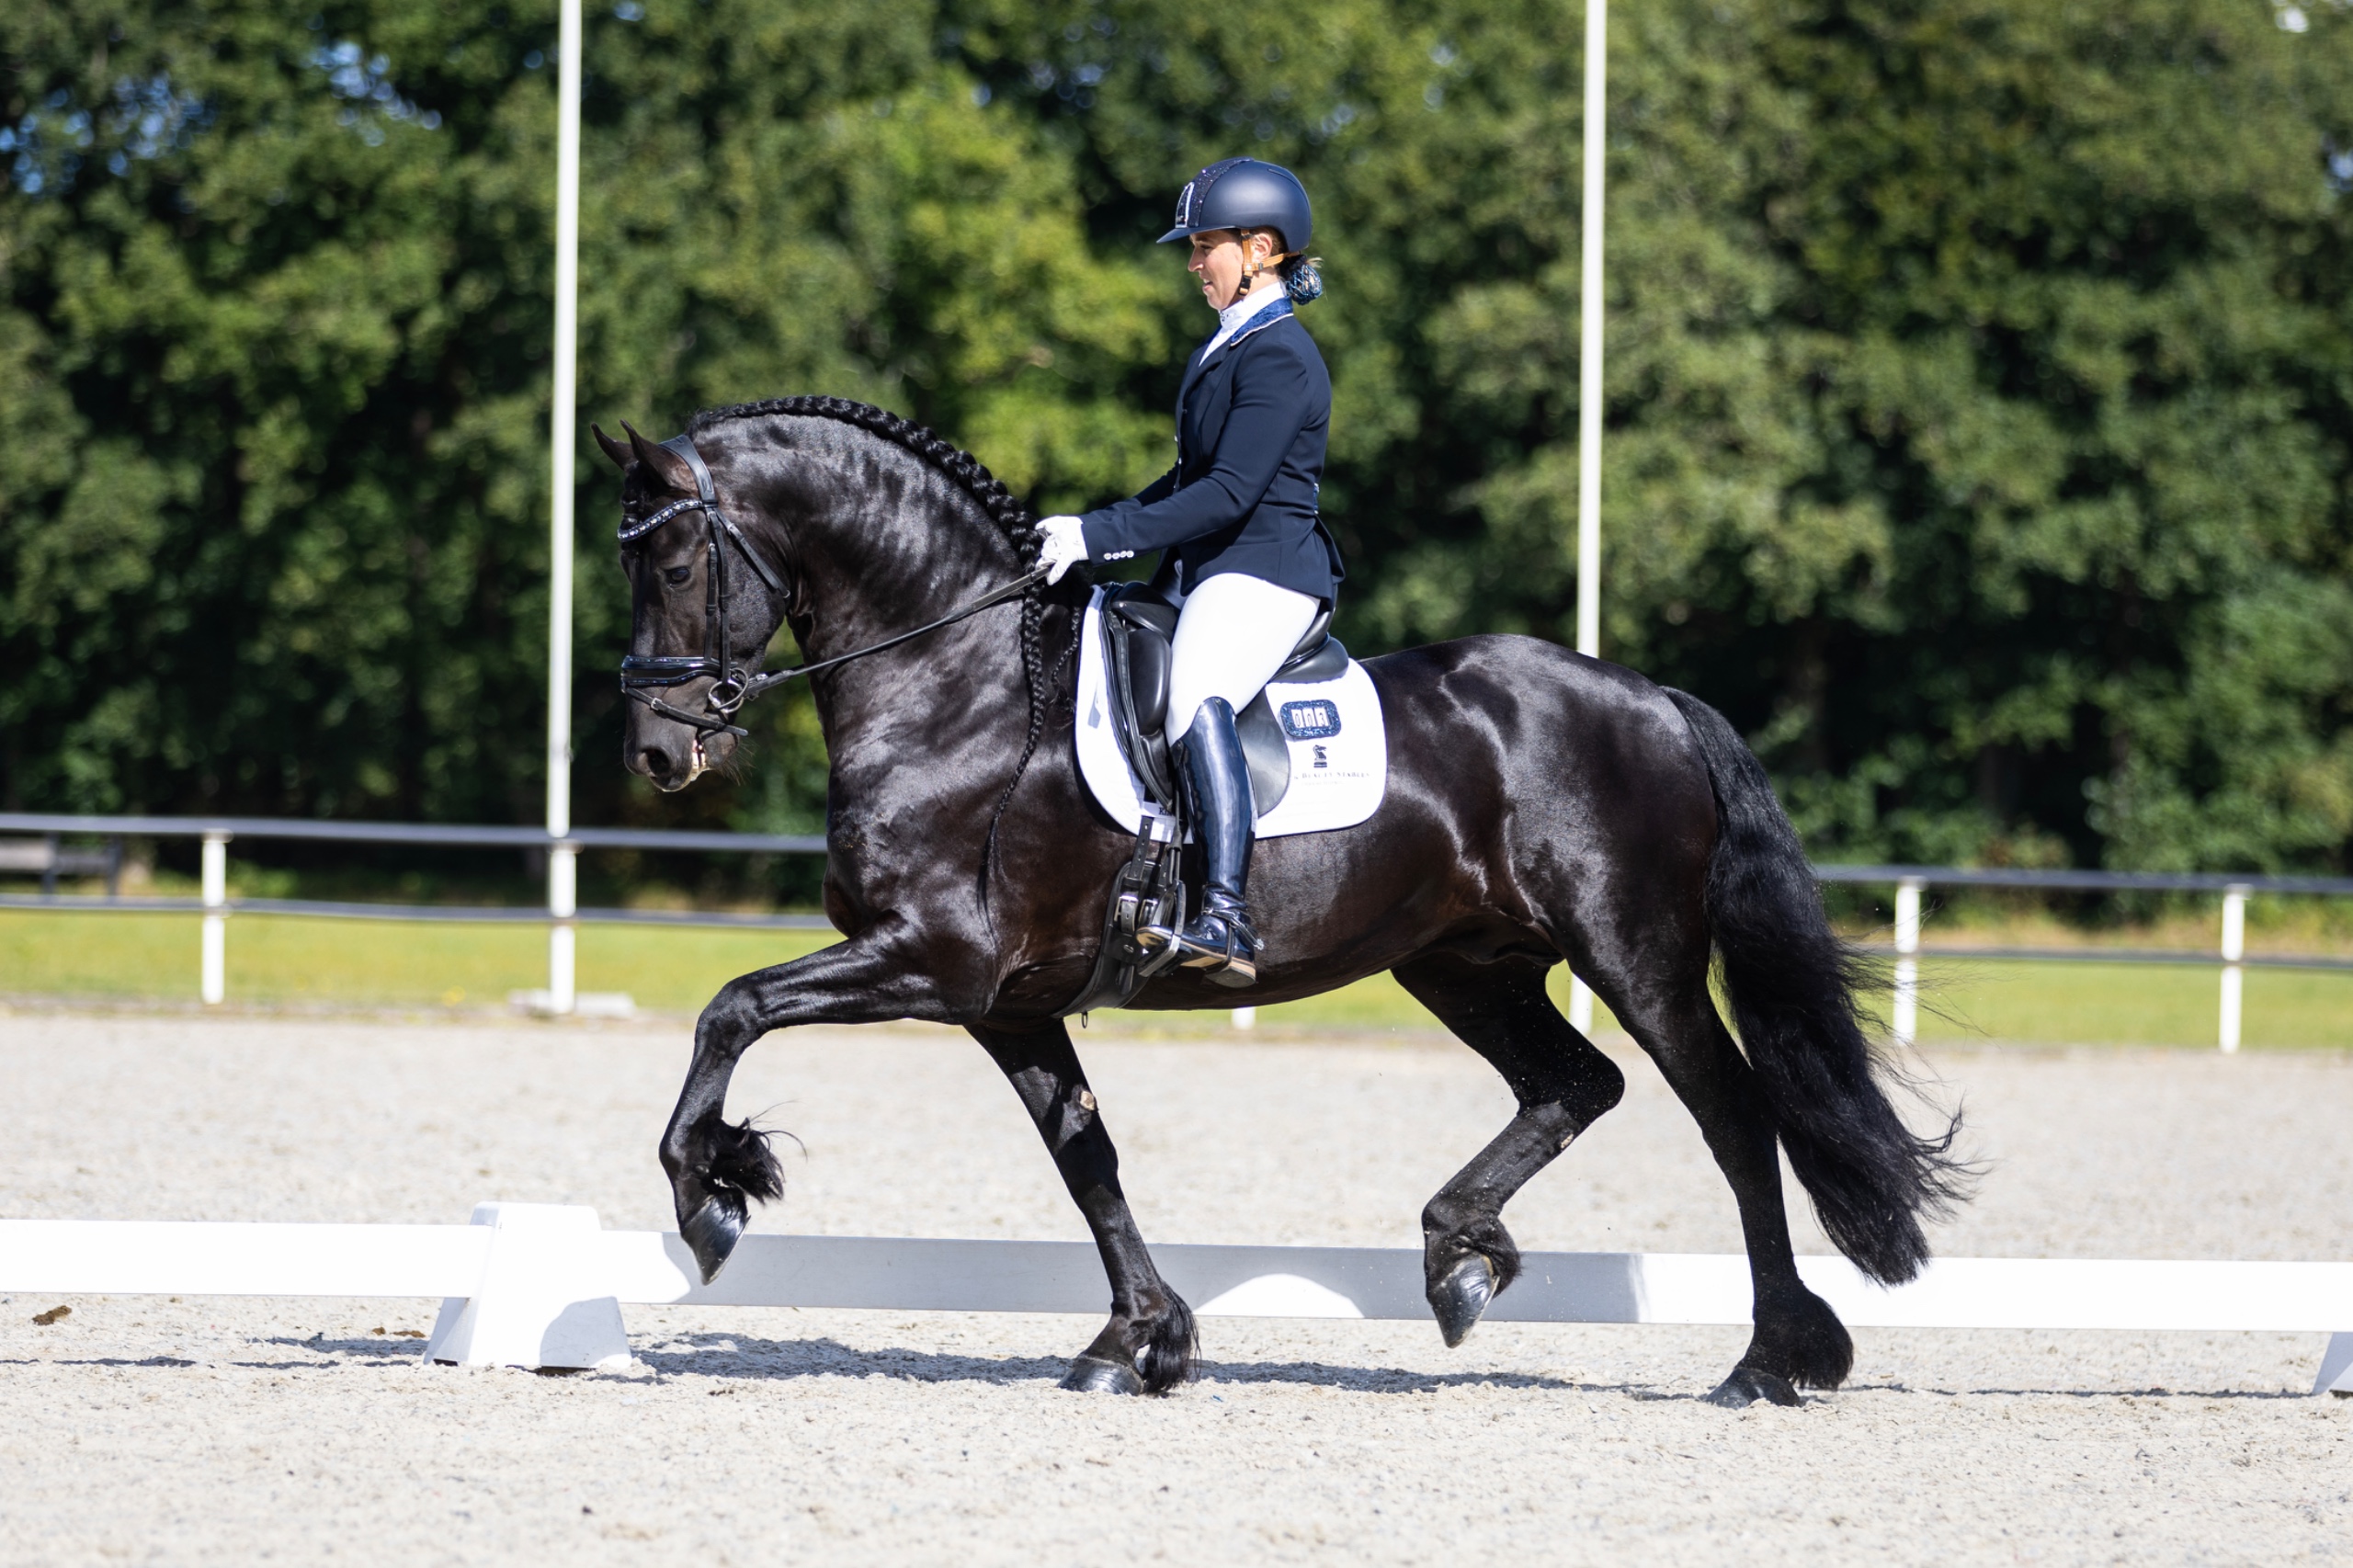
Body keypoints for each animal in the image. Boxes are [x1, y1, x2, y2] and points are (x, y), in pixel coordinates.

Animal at [595, 395, 1967, 1407]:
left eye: (677, 557)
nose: (657, 753)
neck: (957, 682)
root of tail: (1652, 697)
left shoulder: (935, 959)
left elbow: (732, 1005)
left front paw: (713, 1190)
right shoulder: (1008, 1001)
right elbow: (1085, 1156)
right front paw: (1139, 1342)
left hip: (1635, 953)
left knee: (1731, 1117)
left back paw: (1772, 1359)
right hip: (1464, 962)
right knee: (1577, 1083)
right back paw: (1460, 1254)